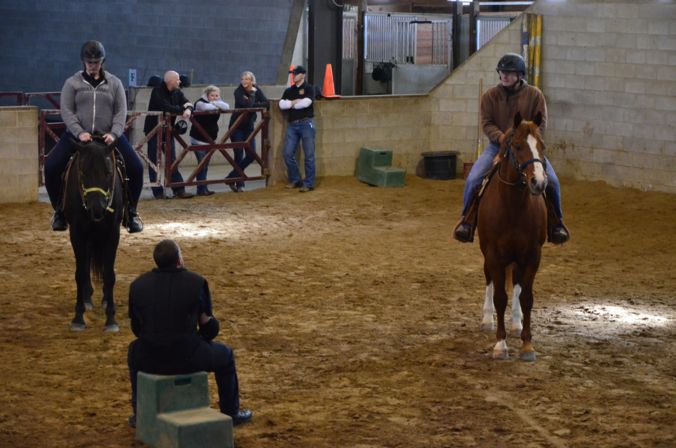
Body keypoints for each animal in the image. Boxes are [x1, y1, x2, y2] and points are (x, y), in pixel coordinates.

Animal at [63, 136, 124, 332]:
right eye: (83, 173)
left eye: (108, 173)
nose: (97, 209)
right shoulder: (77, 234)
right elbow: (80, 273)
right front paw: (78, 317)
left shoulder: (113, 234)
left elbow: (109, 275)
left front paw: (111, 319)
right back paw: (87, 298)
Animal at [478, 112, 548, 360]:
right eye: (517, 146)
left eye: (542, 146)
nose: (539, 182)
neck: (514, 206)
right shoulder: (494, 255)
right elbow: (500, 297)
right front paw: (500, 345)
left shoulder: (533, 255)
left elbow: (526, 297)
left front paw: (527, 344)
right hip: (488, 255)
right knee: (489, 280)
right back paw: (487, 319)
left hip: (518, 259)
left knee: (517, 284)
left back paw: (517, 324)